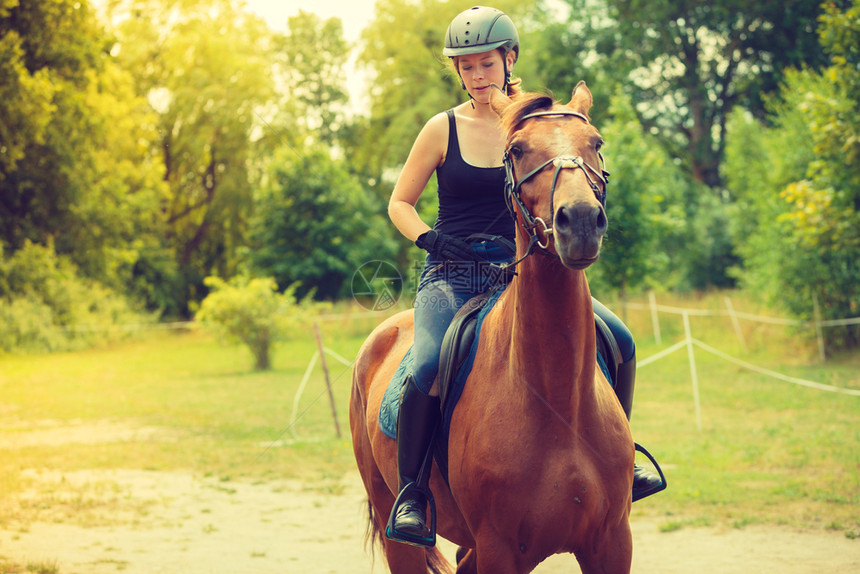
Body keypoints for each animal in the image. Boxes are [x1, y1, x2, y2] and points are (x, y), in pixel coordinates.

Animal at [352, 84, 640, 574]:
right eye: (517, 150)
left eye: (596, 142)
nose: (581, 221)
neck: (557, 404)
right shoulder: (499, 550)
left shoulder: (612, 544)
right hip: (396, 525)